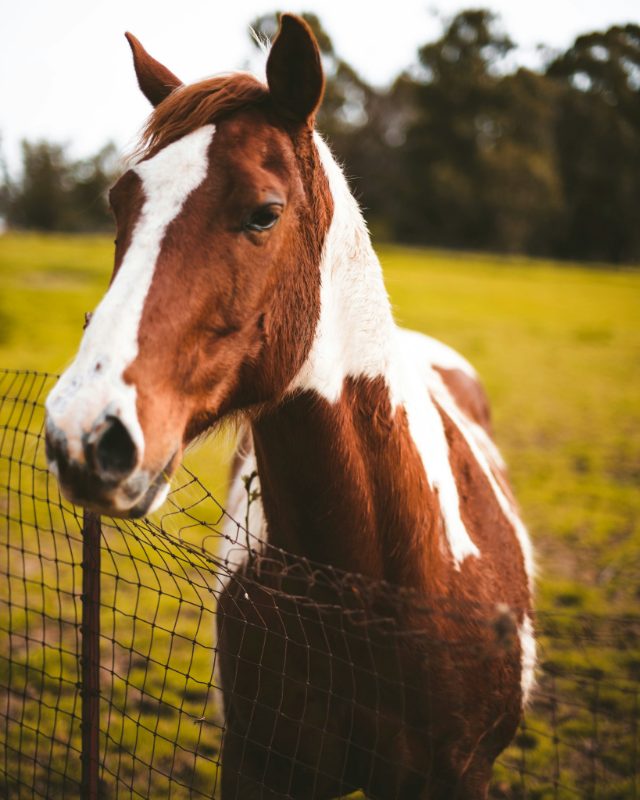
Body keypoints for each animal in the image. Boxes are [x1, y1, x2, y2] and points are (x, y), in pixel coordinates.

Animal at [45, 14, 534, 799]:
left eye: (264, 213)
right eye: (121, 202)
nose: (83, 432)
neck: (370, 588)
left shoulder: (460, 773)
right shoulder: (259, 766)